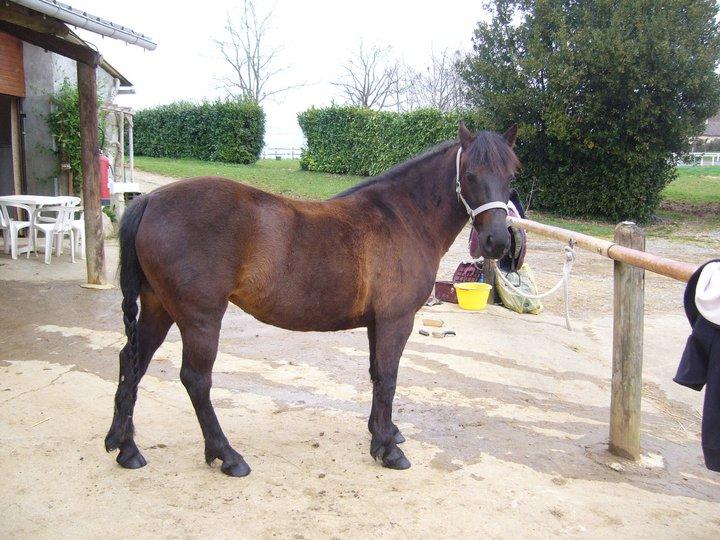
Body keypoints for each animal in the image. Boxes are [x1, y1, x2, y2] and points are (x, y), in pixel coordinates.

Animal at [104, 123, 519, 477]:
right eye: (470, 174)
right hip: (200, 318)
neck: (404, 217)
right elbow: (388, 378)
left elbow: (376, 376)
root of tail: (150, 201)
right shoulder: (395, 320)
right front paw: (388, 448)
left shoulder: (377, 323)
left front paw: (382, 432)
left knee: (133, 362)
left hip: (159, 308)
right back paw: (227, 455)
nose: (497, 242)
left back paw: (125, 447)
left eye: (512, 174)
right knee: (195, 379)